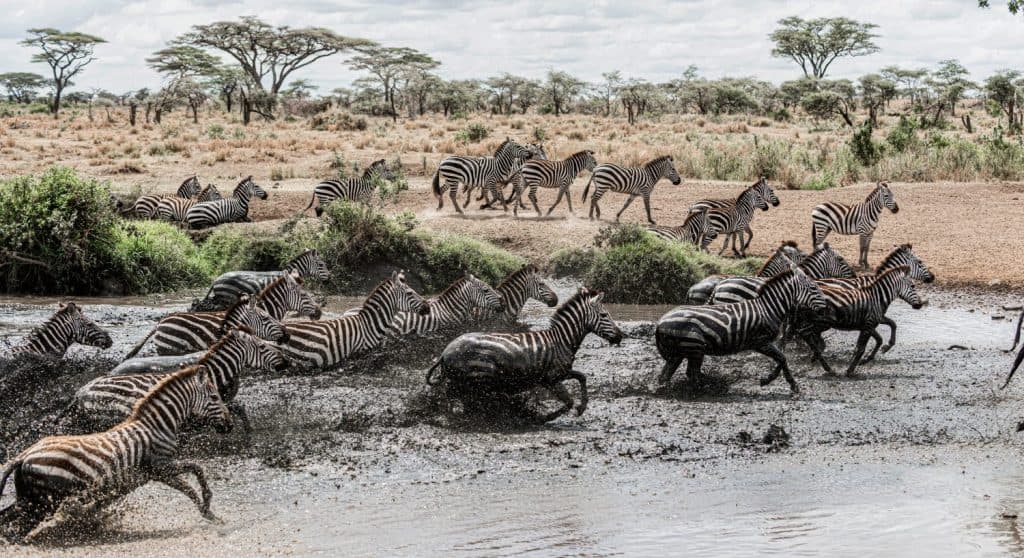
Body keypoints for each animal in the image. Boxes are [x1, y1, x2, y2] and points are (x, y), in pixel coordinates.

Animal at [0, 366, 231, 541]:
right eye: (214, 396)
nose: (230, 425)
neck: (158, 425)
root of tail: (25, 454)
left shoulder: (158, 474)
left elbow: (188, 488)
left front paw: (209, 513)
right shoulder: (160, 465)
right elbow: (195, 470)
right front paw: (208, 504)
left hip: (30, 498)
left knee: (8, 518)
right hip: (46, 501)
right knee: (17, 522)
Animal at [425, 288, 623, 423]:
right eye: (604, 315)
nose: (620, 336)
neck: (561, 340)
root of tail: (445, 351)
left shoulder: (561, 372)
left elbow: (582, 377)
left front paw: (582, 407)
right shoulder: (551, 378)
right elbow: (568, 401)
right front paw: (542, 418)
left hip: (464, 381)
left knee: (454, 397)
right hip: (475, 380)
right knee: (461, 399)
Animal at [656, 267, 827, 394]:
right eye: (814, 288)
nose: (826, 307)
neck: (768, 308)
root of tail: (660, 322)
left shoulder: (766, 343)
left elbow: (781, 359)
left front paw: (783, 382)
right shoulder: (760, 342)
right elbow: (782, 358)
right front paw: (775, 381)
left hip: (678, 353)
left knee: (666, 376)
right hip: (694, 348)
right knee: (691, 373)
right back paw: (710, 388)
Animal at [793, 266, 924, 377]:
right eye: (913, 286)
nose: (919, 305)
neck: (878, 297)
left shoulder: (872, 322)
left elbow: (890, 327)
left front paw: (879, 351)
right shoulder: (869, 324)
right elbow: (861, 348)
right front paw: (850, 370)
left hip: (818, 322)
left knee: (805, 334)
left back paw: (818, 358)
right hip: (822, 323)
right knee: (805, 333)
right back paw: (826, 366)